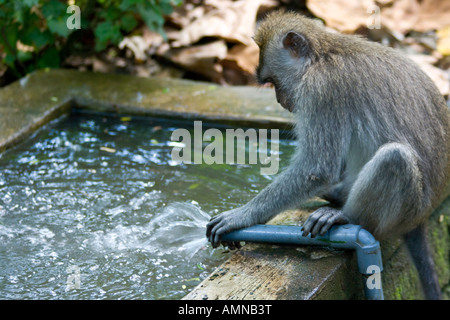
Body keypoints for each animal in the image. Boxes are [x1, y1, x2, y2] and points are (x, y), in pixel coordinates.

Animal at [206, 11, 448, 300]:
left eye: (273, 81)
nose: (279, 100)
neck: (322, 55)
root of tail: (423, 217)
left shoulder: (321, 90)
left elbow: (316, 169)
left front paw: (243, 216)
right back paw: (336, 195)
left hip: (408, 210)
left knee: (394, 158)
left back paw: (347, 217)